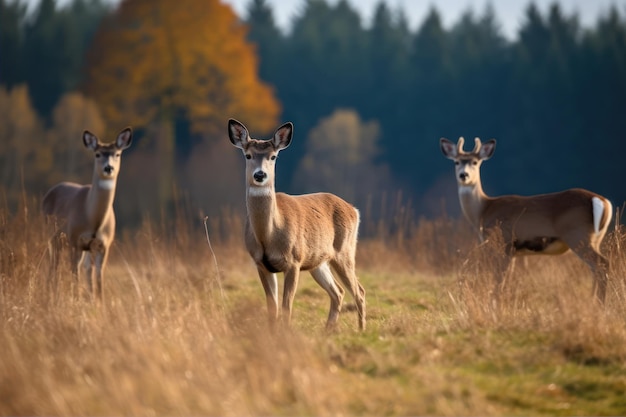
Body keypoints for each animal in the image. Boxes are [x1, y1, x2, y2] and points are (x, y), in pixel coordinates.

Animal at [43, 127, 133, 300]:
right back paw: (52, 293)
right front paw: (75, 299)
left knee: (85, 269)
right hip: (52, 236)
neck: (94, 220)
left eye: (117, 154)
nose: (108, 168)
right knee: (54, 265)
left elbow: (98, 276)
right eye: (97, 154)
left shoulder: (103, 245)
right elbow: (74, 272)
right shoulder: (75, 240)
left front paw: (99, 301)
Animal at [227, 118, 366, 330]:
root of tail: (354, 210)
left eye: (273, 156)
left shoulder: (294, 260)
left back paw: (361, 330)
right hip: (318, 261)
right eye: (248, 155)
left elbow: (286, 307)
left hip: (344, 251)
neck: (269, 236)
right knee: (338, 291)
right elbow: (272, 308)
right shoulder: (261, 263)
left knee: (359, 291)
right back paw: (329, 330)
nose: (260, 175)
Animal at [438, 136, 608, 302]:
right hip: (595, 239)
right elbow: (507, 280)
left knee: (602, 264)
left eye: (475, 162)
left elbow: (499, 280)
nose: (464, 175)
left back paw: (600, 303)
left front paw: (496, 303)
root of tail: (602, 202)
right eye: (456, 162)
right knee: (595, 269)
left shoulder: (503, 242)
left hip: (577, 235)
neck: (483, 211)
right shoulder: (513, 252)